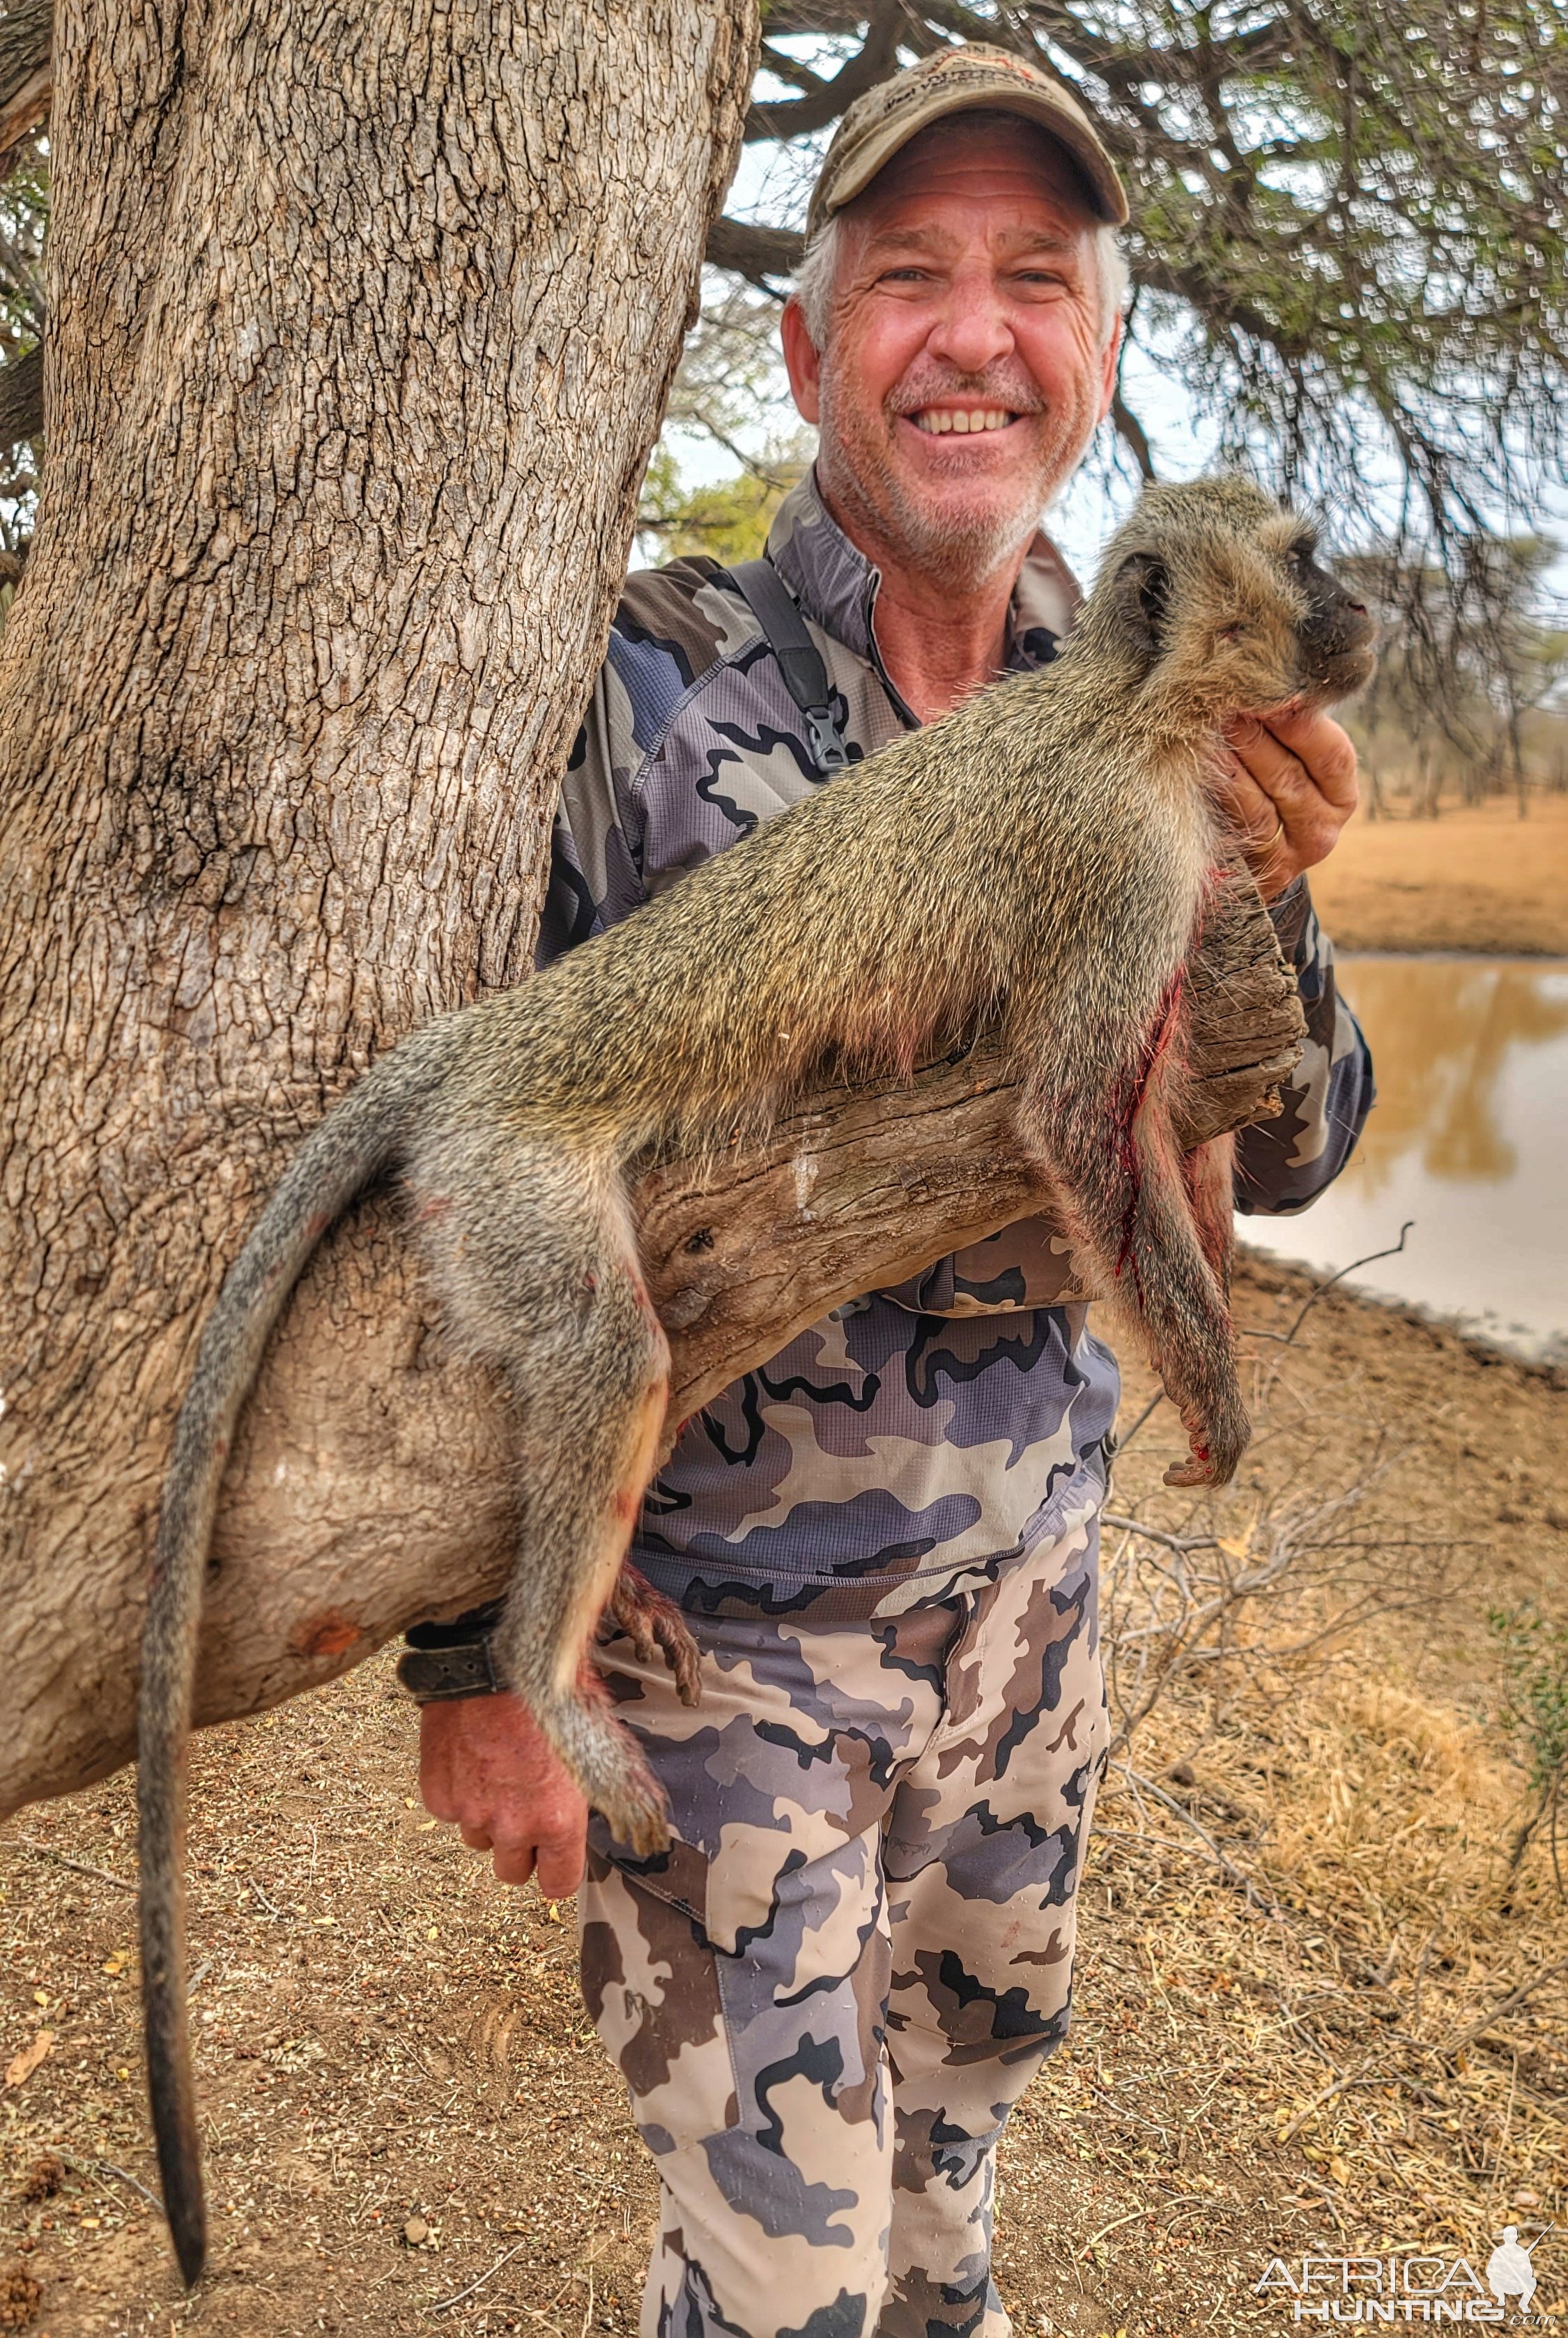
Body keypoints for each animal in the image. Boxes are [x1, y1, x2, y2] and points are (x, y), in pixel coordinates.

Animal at [141, 465, 1383, 2272]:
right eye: (1306, 559)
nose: (1366, 609)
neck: (1132, 706)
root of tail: (497, 1032)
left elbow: (1159, 1105)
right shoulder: (1118, 861)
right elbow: (1076, 1115)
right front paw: (1214, 1385)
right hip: (503, 1180)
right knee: (611, 1353)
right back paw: (545, 1671)